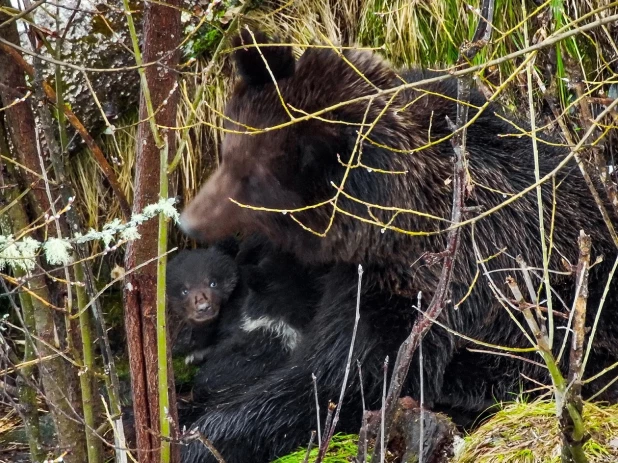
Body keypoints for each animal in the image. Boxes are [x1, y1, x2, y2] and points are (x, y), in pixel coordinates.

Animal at [177, 29, 616, 463]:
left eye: (251, 179)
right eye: (227, 152)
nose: (189, 220)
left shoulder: (425, 278)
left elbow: (350, 376)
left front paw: (203, 437)